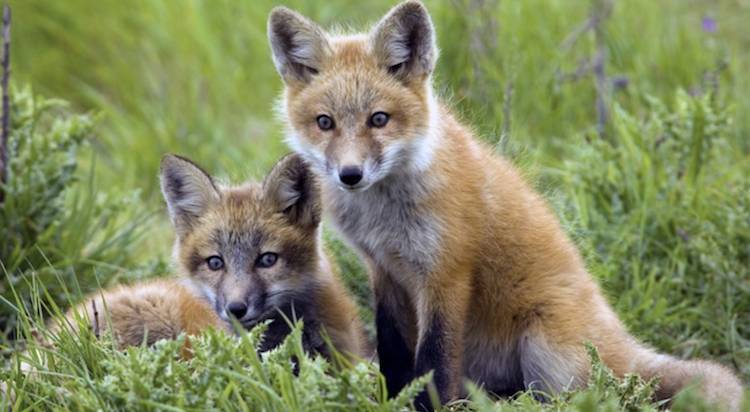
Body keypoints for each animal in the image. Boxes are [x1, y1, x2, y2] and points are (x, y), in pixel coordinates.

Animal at [267, 1, 744, 410]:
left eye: (379, 119)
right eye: (325, 123)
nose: (350, 175)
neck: (383, 216)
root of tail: (617, 335)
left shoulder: (446, 274)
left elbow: (435, 364)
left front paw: (429, 407)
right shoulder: (385, 271)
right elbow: (395, 356)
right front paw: (391, 400)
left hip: (546, 349)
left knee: (588, 396)